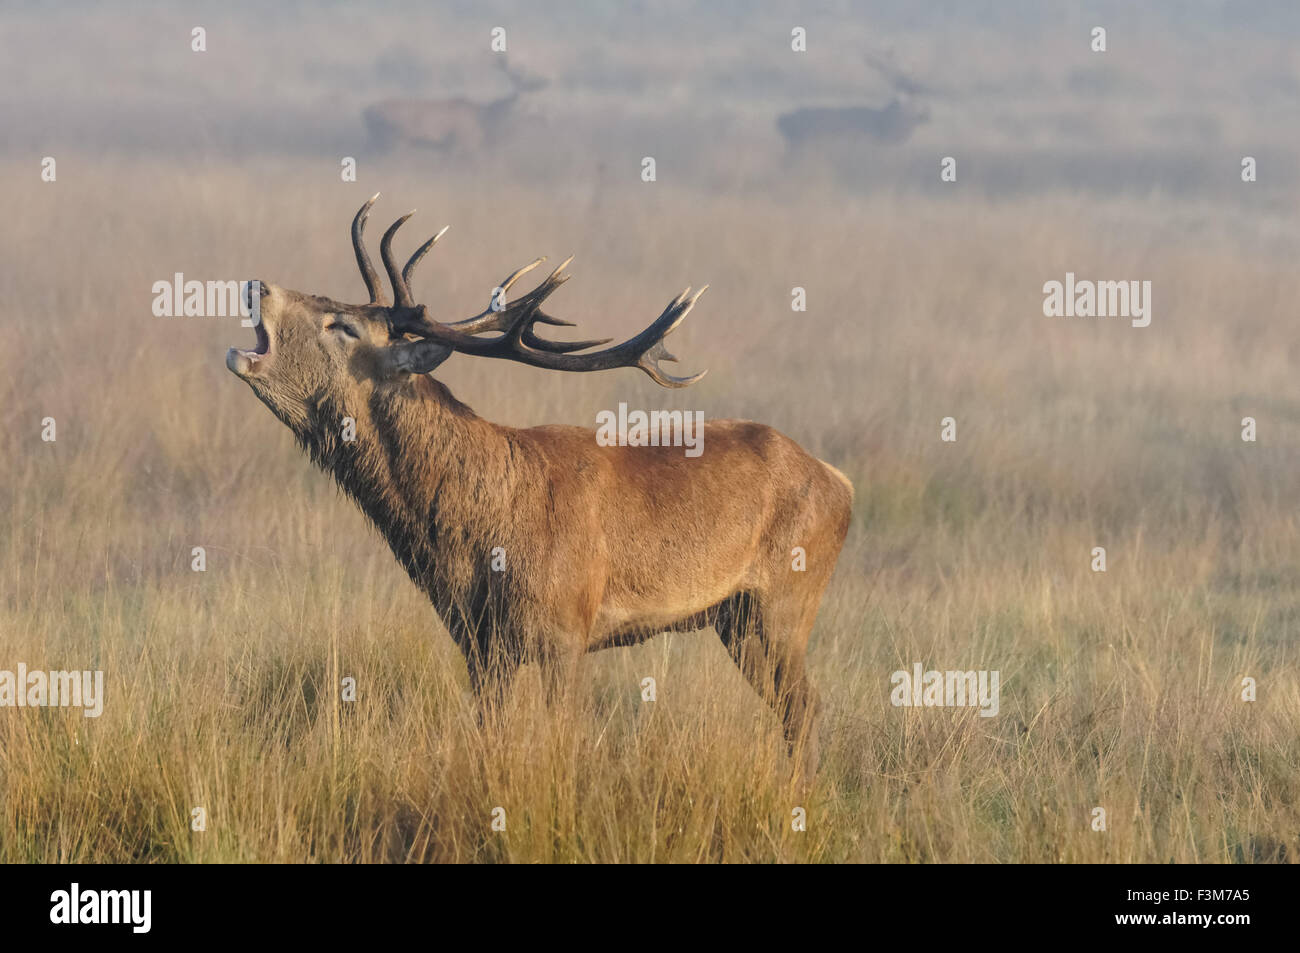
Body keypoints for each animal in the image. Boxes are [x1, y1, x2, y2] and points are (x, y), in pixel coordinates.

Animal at [226, 196, 853, 777]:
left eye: (343, 325)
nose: (258, 284)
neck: (476, 540)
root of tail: (840, 483)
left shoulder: (566, 630)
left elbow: (560, 739)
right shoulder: (479, 644)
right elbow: (491, 734)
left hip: (786, 600)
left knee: (806, 706)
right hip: (736, 620)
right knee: (792, 707)